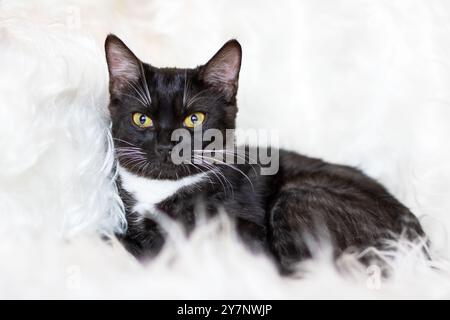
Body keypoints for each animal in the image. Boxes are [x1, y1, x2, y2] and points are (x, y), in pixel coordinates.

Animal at [104, 35, 426, 274]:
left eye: (194, 119)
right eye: (142, 119)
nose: (166, 146)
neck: (162, 187)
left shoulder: (240, 232)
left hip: (300, 197)